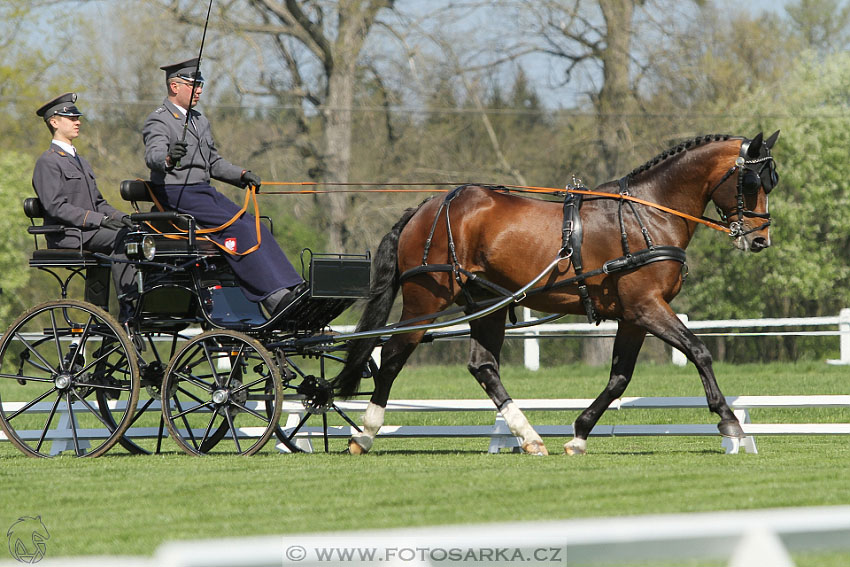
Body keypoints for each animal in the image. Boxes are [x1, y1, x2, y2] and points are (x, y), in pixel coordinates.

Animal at [332, 133, 776, 458]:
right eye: (753, 181)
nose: (760, 240)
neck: (648, 215)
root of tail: (427, 206)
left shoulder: (633, 316)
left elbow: (619, 378)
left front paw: (579, 434)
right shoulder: (647, 307)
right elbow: (699, 351)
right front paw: (729, 422)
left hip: (485, 304)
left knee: (483, 366)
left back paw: (529, 437)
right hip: (426, 301)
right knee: (392, 355)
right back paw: (365, 434)